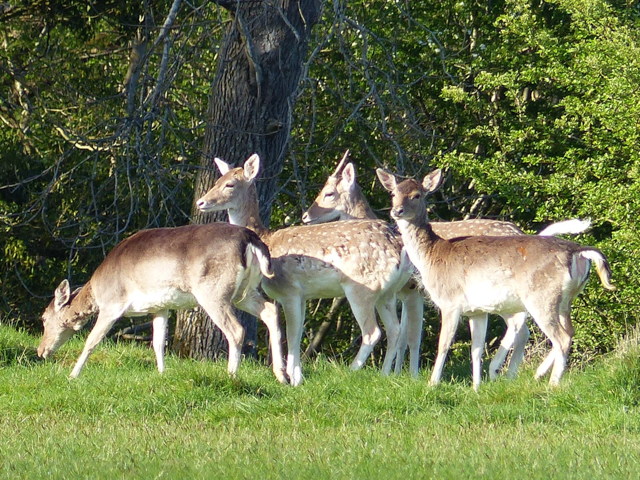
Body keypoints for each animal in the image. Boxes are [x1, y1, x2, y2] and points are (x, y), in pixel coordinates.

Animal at [37, 223, 288, 384]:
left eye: (44, 317)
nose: (40, 351)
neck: (99, 288)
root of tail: (252, 241)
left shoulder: (113, 304)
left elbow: (91, 340)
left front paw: (72, 375)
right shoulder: (160, 307)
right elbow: (158, 342)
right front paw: (161, 374)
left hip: (213, 290)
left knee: (236, 329)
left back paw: (232, 376)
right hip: (244, 291)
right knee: (271, 311)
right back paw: (282, 376)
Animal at [195, 154, 413, 387]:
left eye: (230, 184)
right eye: (217, 180)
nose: (201, 202)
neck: (267, 240)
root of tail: (398, 247)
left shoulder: (289, 289)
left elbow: (291, 333)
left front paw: (292, 378)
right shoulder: (303, 295)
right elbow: (298, 332)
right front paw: (296, 375)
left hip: (361, 287)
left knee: (373, 332)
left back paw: (351, 372)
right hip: (387, 293)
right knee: (395, 329)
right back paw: (384, 375)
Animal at [302, 152, 591, 380]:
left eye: (329, 193)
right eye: (393, 193)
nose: (305, 216)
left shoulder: (413, 290)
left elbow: (412, 335)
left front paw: (412, 375)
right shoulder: (405, 293)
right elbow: (404, 332)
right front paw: (399, 373)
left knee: (525, 327)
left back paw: (505, 372)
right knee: (530, 329)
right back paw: (513, 374)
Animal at [376, 167, 615, 389]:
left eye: (417, 195)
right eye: (393, 193)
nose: (396, 210)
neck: (433, 255)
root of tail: (577, 252)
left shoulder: (450, 301)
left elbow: (443, 343)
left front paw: (432, 384)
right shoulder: (477, 311)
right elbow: (476, 349)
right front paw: (476, 388)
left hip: (540, 297)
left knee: (560, 338)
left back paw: (550, 384)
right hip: (565, 301)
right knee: (570, 332)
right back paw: (535, 374)